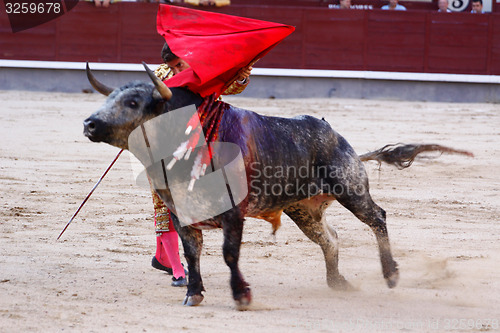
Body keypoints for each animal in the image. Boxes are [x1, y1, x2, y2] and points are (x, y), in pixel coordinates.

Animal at [81, 63, 464, 308]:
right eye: (108, 99)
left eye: (133, 102)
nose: (89, 124)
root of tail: (339, 138)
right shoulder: (181, 214)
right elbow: (192, 254)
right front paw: (193, 293)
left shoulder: (233, 212)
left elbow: (229, 253)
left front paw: (241, 295)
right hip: (304, 209)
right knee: (330, 239)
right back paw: (338, 282)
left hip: (350, 188)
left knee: (378, 217)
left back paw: (391, 274)